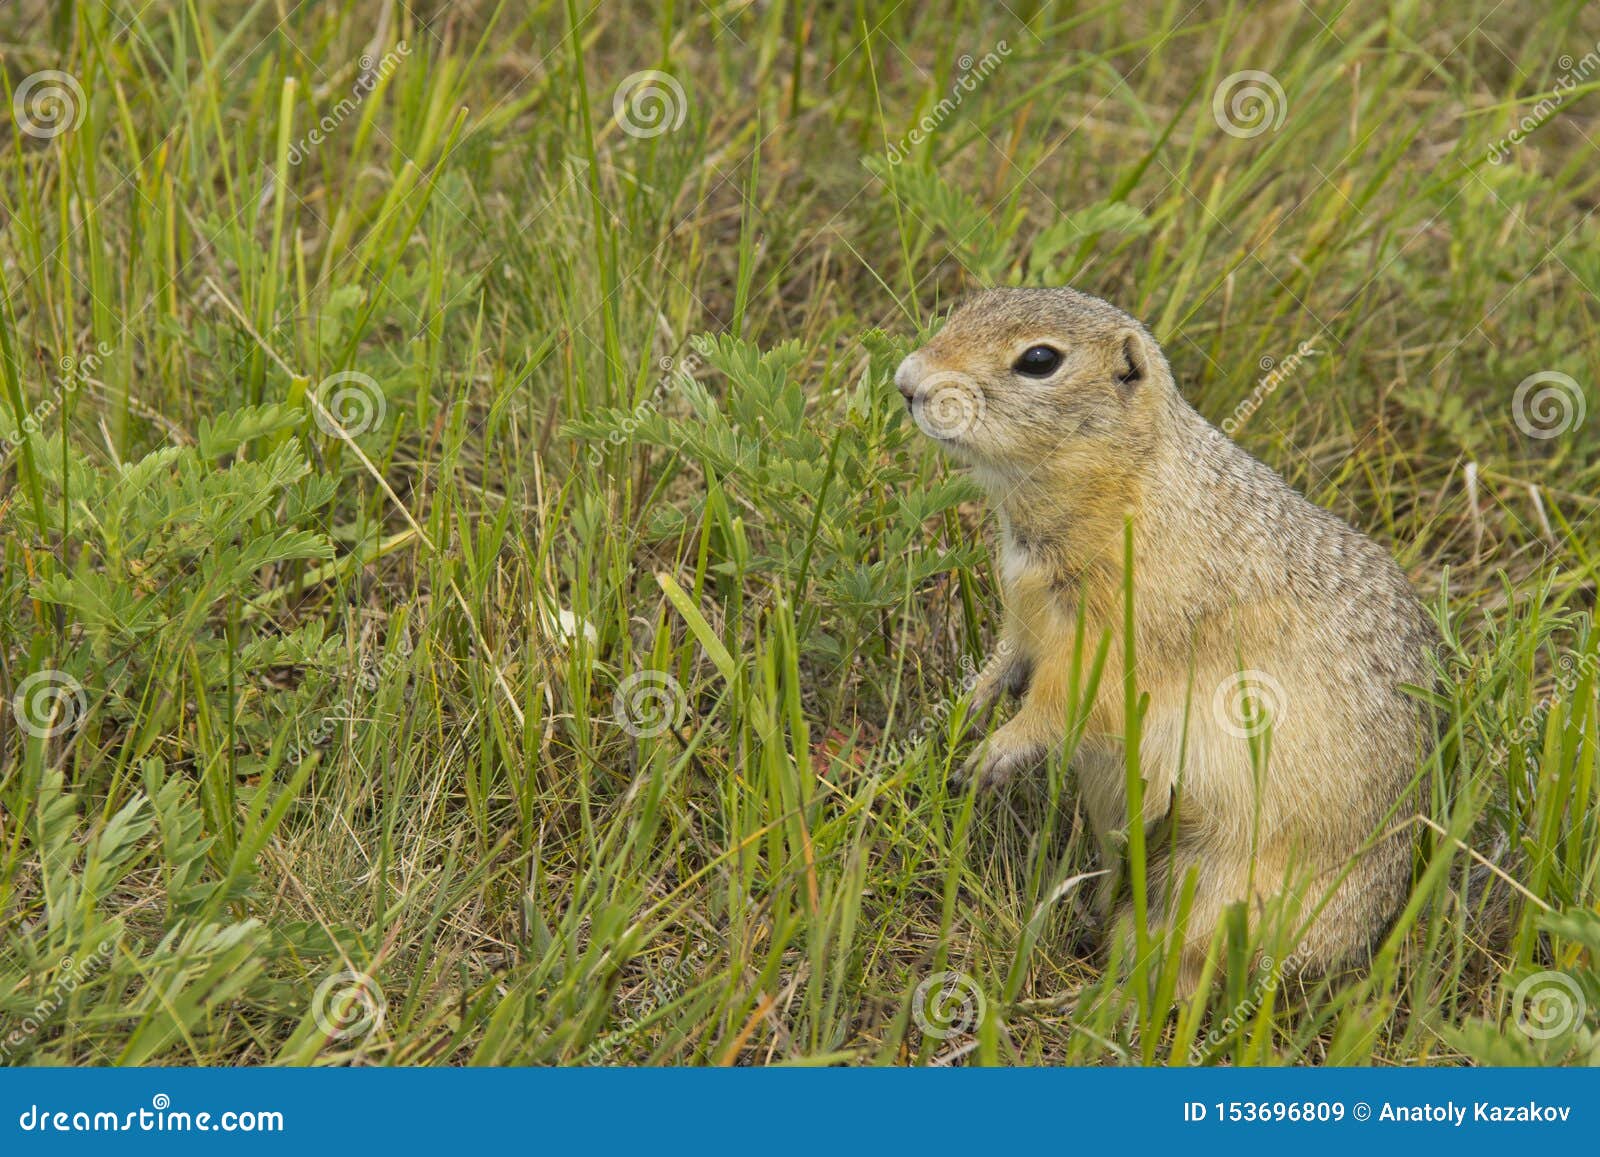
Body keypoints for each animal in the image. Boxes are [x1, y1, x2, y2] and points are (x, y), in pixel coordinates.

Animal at [902, 284, 1440, 992]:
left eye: (1040, 360)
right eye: (966, 306)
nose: (907, 381)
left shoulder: (1120, 633)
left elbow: (1070, 700)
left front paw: (995, 752)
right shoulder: (1027, 611)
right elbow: (1008, 658)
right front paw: (968, 707)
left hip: (1222, 888)